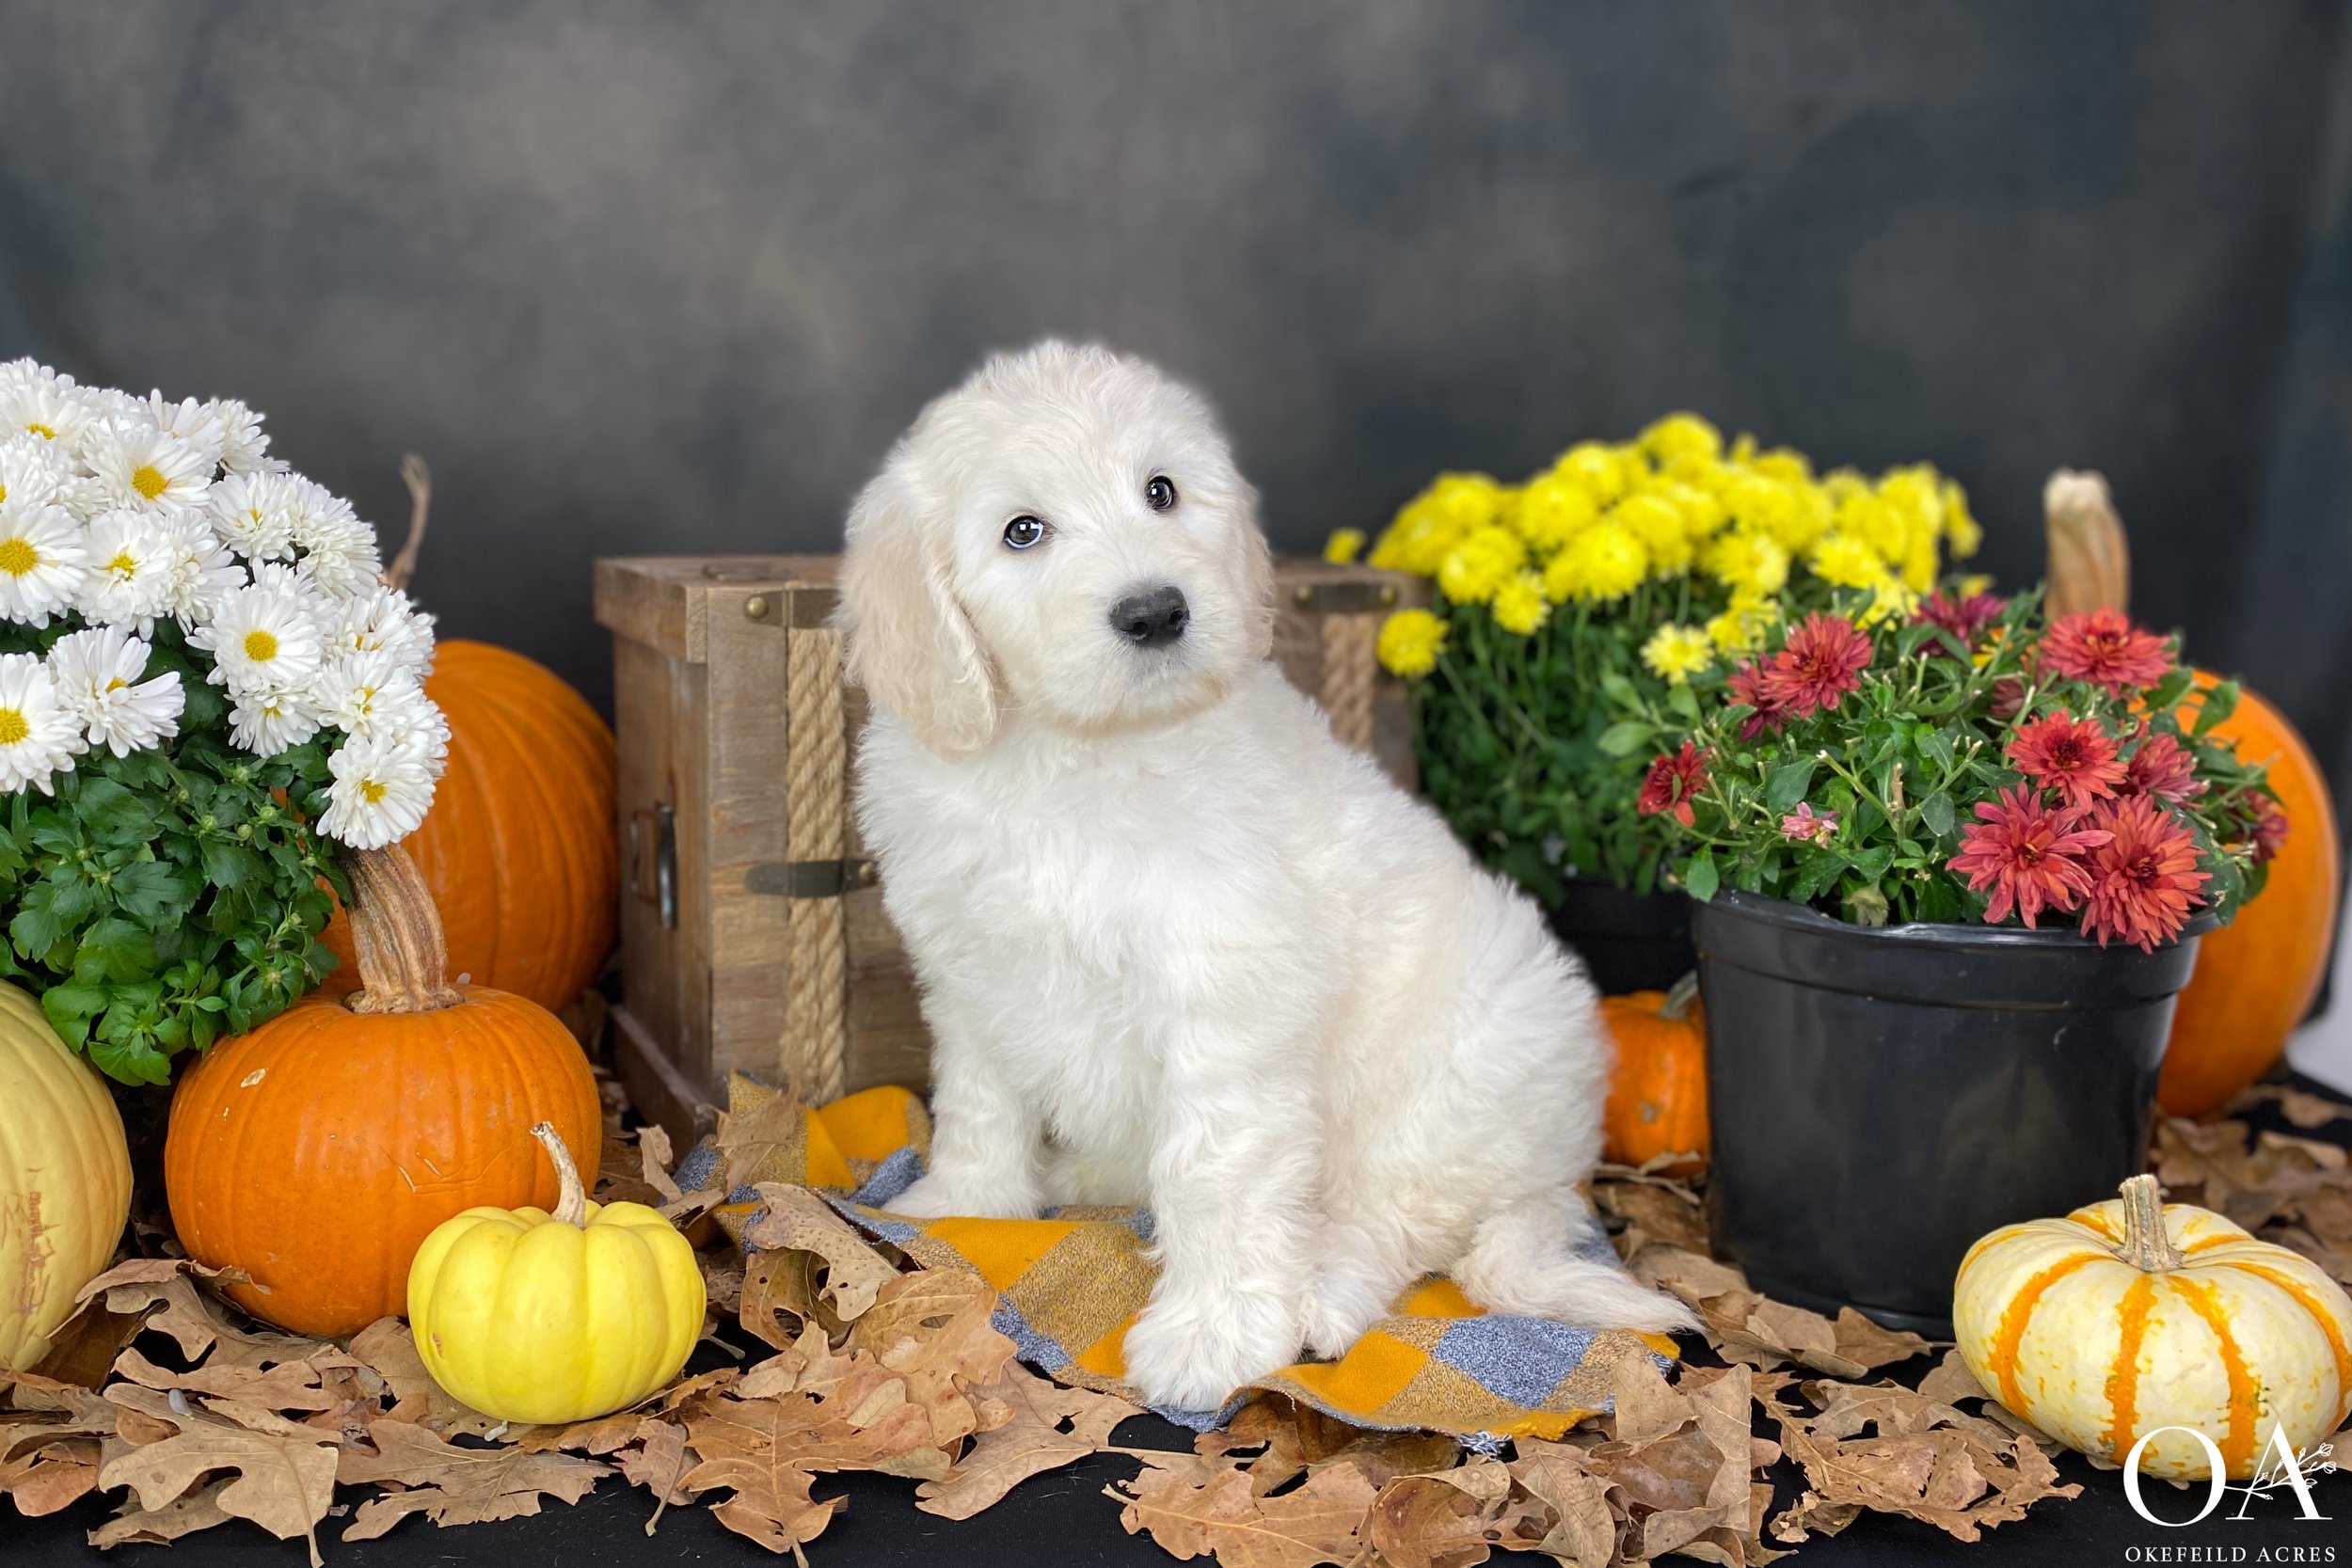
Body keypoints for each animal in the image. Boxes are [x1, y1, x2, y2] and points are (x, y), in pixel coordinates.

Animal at [837, 341, 1703, 1410]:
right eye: (1022, 531)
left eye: (1161, 492)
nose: (1156, 611)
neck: (1074, 753)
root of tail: (1553, 1173)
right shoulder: (970, 966)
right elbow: (978, 1097)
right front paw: (968, 1202)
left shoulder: (1229, 993)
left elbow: (1216, 1169)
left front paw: (1213, 1334)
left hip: (1441, 1097)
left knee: (1390, 1225)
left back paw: (1320, 1293)